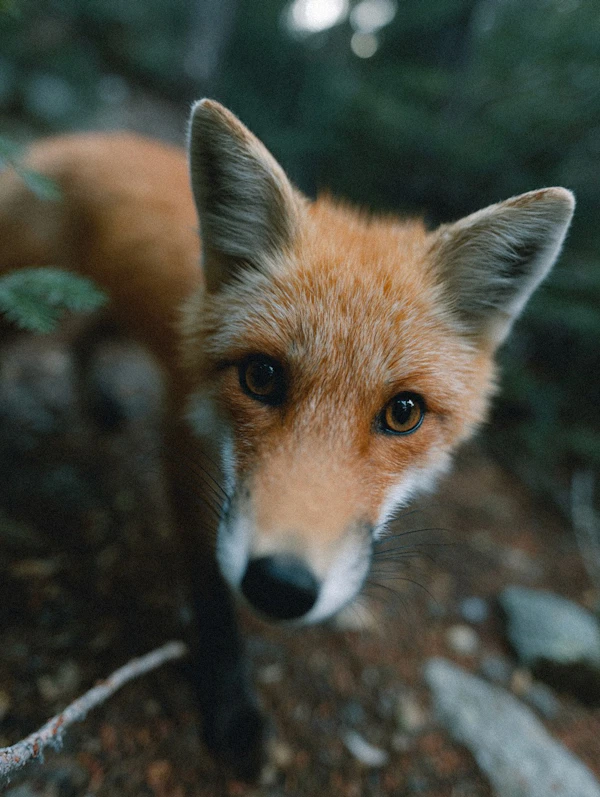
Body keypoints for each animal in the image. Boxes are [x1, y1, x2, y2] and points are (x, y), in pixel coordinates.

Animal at [0, 99, 574, 781]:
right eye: (262, 376)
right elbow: (212, 591)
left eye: (404, 413)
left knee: (88, 338)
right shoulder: (187, 448)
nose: (282, 585)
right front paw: (231, 708)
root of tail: (76, 138)